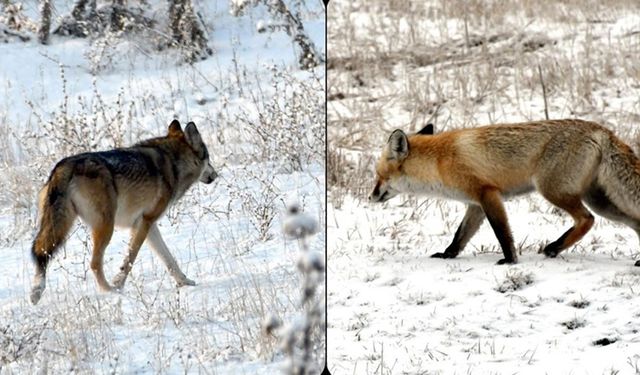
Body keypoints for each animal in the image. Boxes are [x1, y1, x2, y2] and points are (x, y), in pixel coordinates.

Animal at [30, 120, 218, 306]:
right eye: (208, 158)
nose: (216, 175)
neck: (173, 162)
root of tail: (63, 167)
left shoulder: (149, 225)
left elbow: (168, 258)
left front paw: (185, 282)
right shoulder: (144, 223)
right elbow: (130, 259)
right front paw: (118, 283)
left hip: (62, 226)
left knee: (41, 253)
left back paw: (36, 292)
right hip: (105, 227)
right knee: (94, 264)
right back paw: (110, 291)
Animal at [368, 119, 640, 266]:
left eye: (379, 175)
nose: (370, 197)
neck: (439, 162)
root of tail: (601, 130)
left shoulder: (488, 194)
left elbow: (502, 233)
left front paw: (510, 260)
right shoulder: (475, 204)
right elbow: (460, 236)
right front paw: (447, 255)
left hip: (554, 191)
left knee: (586, 220)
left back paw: (554, 247)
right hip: (601, 202)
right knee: (634, 221)